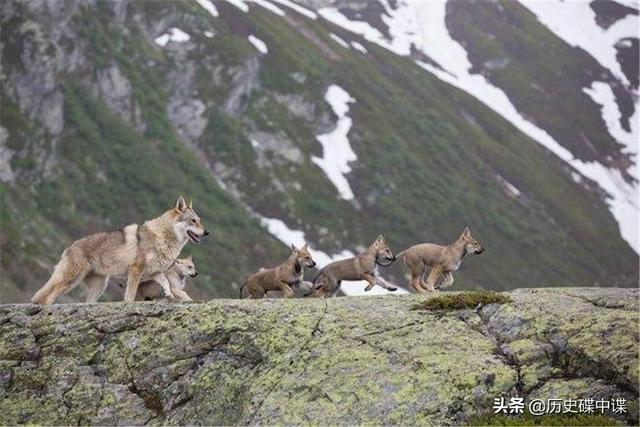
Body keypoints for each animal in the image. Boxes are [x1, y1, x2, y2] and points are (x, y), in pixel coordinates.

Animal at [31, 197, 209, 304]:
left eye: (200, 221)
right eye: (193, 221)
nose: (207, 232)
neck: (162, 237)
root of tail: (70, 246)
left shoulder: (155, 273)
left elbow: (166, 283)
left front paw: (169, 295)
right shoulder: (136, 270)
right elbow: (130, 294)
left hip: (99, 287)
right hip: (71, 281)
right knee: (48, 297)